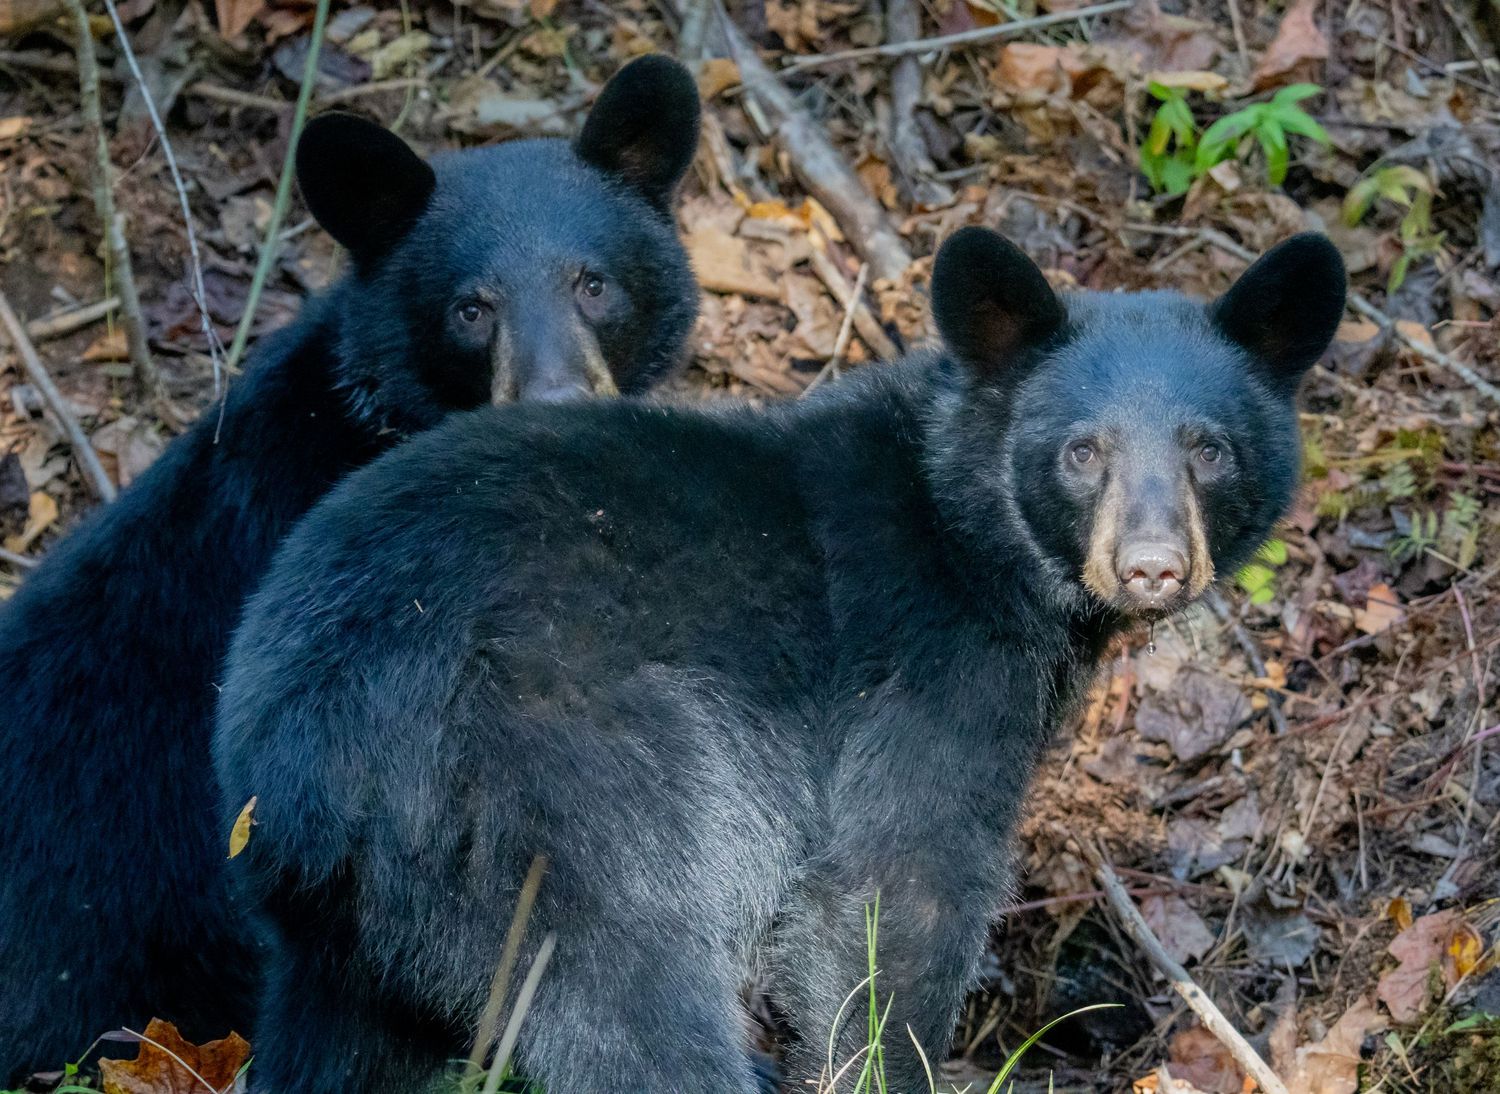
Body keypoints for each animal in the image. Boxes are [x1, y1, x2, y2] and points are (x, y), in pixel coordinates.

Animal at [213, 228, 1346, 1093]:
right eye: (1082, 451)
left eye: (1209, 448)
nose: (1153, 565)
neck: (973, 538)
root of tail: (313, 739)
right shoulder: (924, 673)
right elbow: (898, 890)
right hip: (556, 790)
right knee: (633, 994)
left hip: (346, 928)